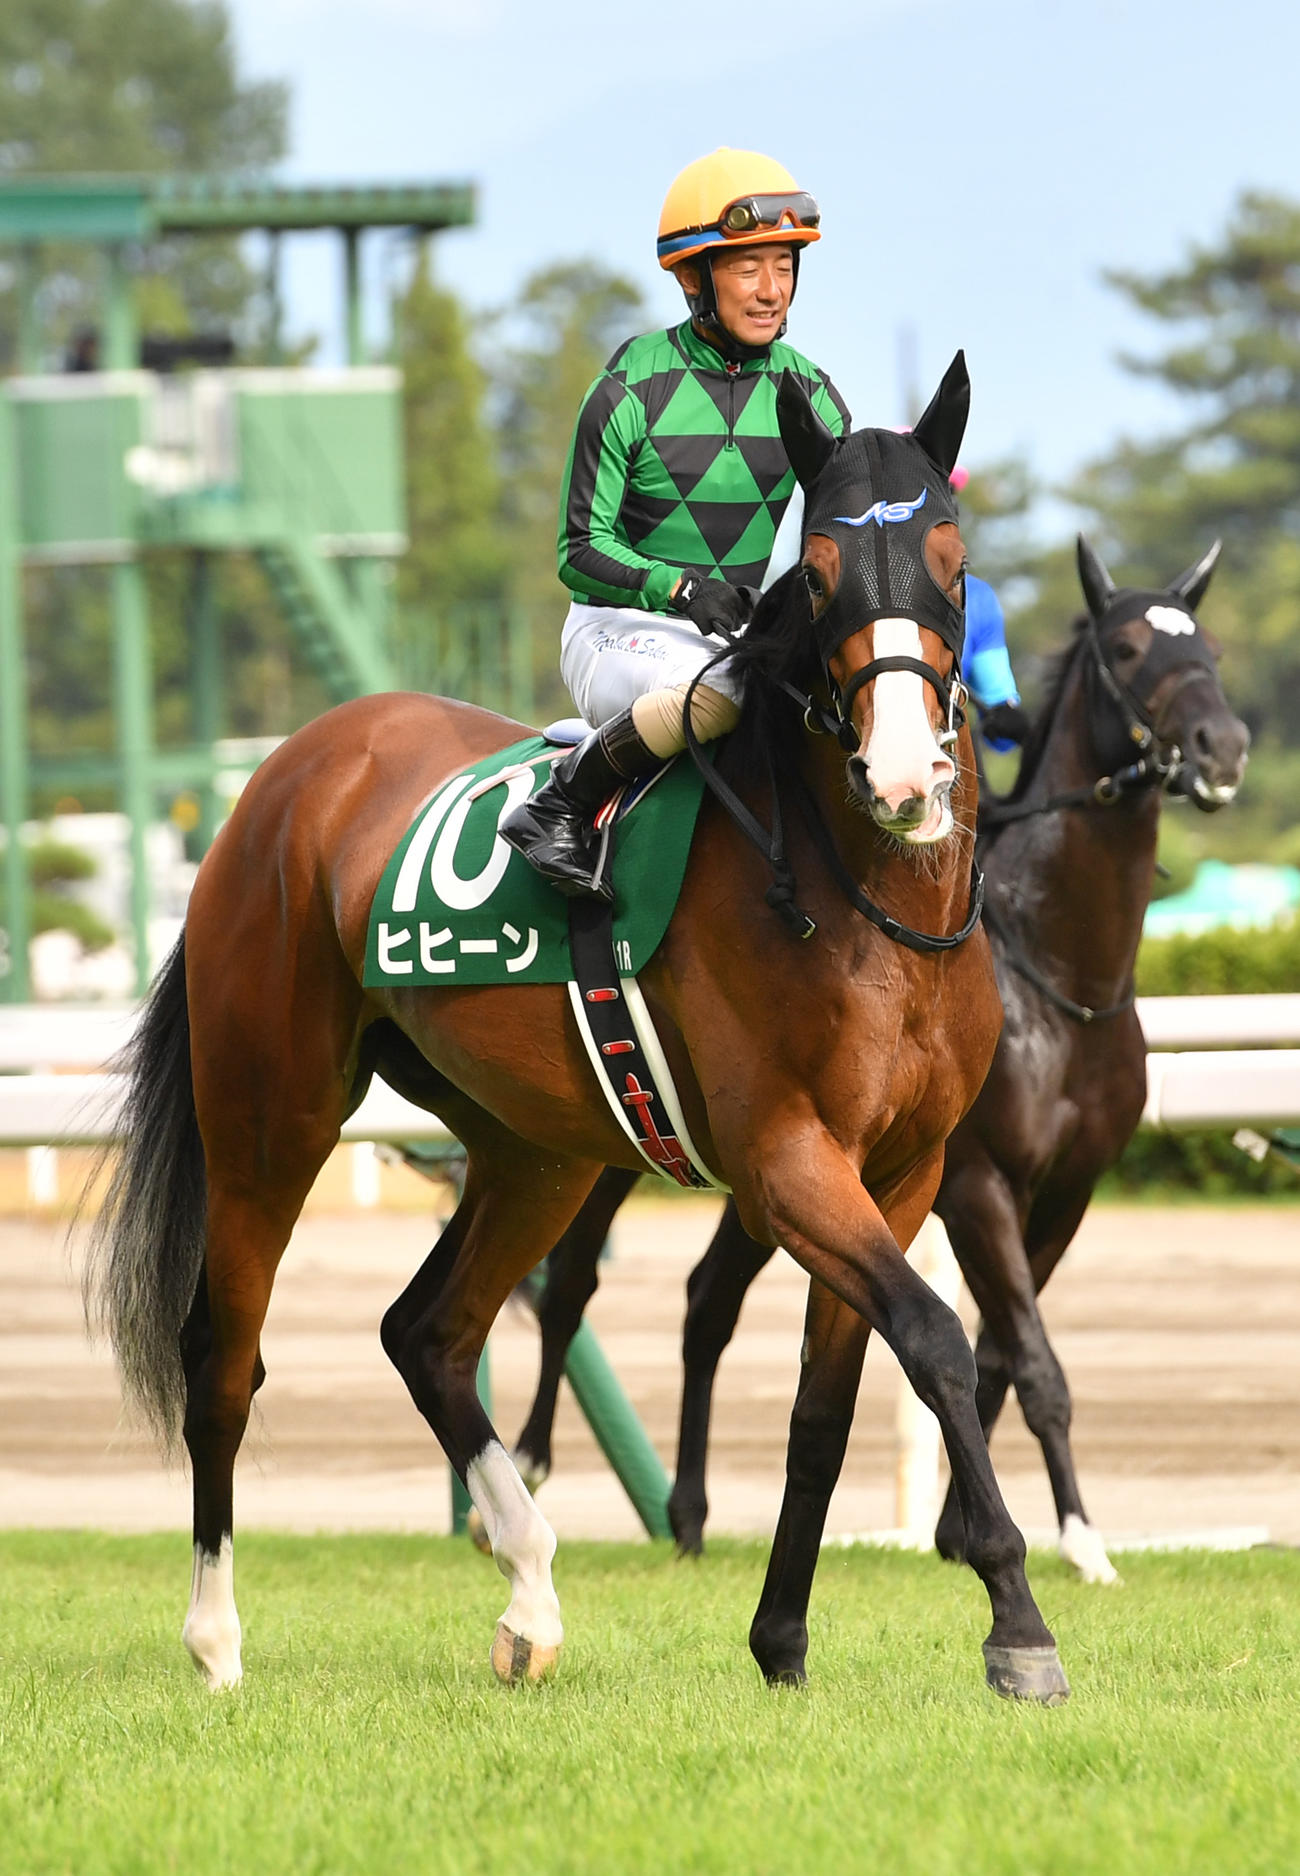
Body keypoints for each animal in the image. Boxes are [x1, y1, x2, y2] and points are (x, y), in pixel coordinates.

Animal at [83, 354, 1070, 1704]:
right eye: (815, 573)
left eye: (952, 559)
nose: (905, 777)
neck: (864, 896)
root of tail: (280, 777)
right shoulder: (785, 1160)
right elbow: (931, 1337)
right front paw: (1016, 1615)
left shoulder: (903, 1167)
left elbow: (830, 1401)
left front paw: (781, 1638)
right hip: (268, 1119)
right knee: (222, 1356)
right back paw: (217, 1639)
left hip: (534, 1148)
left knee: (428, 1332)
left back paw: (532, 1598)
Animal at [505, 535, 1249, 1579]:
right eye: (1131, 648)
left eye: (1208, 647)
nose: (1222, 747)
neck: (1061, 975)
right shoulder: (976, 1184)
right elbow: (1037, 1363)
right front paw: (1080, 1540)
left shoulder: (1066, 1189)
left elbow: (1007, 1352)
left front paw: (957, 1531)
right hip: (626, 1133)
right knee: (574, 1282)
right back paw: (533, 1459)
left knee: (706, 1300)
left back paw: (688, 1514)